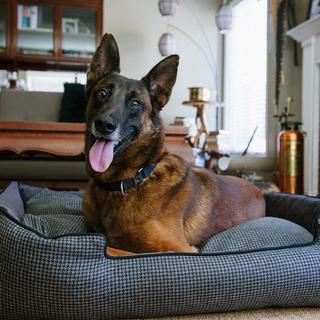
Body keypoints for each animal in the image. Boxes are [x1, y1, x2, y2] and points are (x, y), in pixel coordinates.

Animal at [82, 33, 264, 256]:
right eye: (102, 93)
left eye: (135, 103)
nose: (104, 125)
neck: (132, 180)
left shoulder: (179, 250)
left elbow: (113, 247)